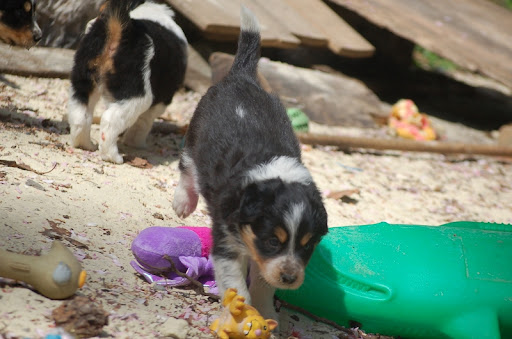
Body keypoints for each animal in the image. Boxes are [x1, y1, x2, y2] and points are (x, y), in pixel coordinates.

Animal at [68, 0, 187, 165]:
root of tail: (122, 26)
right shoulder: (159, 102)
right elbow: (143, 123)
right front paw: (136, 143)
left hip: (82, 80)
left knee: (80, 115)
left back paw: (84, 145)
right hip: (137, 95)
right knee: (110, 121)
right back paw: (112, 156)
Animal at [173, 6, 328, 320]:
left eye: (307, 246)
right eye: (273, 241)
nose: (290, 278)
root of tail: (241, 75)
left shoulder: (262, 256)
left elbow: (264, 283)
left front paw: (267, 314)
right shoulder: (227, 240)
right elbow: (236, 285)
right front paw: (241, 315)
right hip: (195, 138)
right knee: (187, 169)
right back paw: (183, 203)